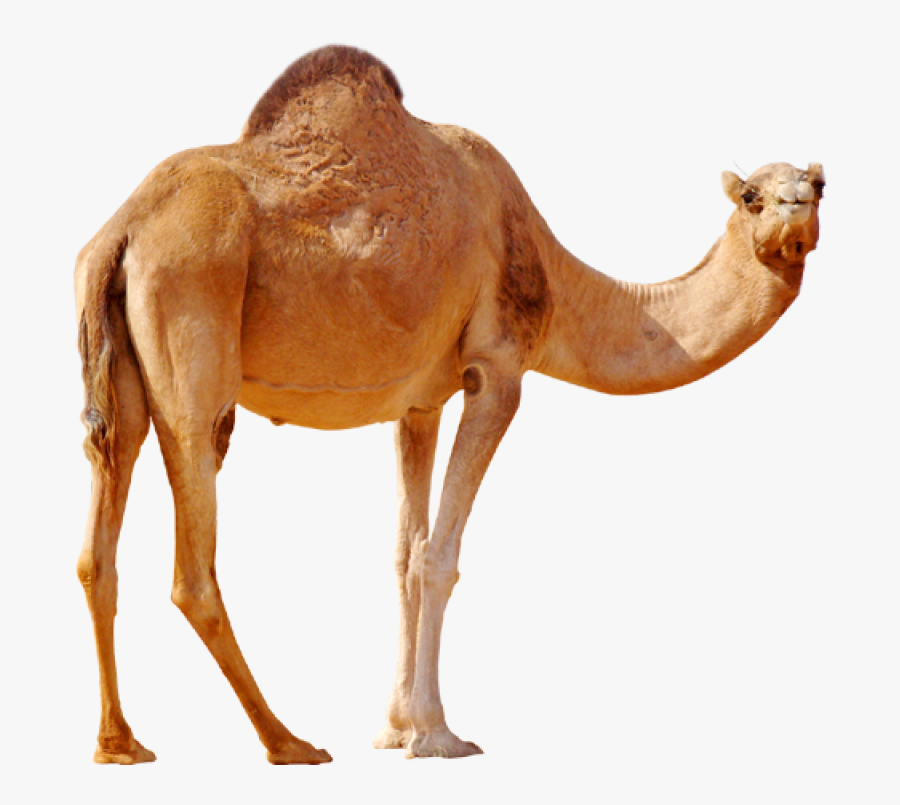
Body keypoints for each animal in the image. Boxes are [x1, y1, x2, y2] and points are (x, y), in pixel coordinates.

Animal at [75, 45, 824, 765]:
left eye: (819, 185)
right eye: (751, 195)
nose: (795, 209)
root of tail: (121, 231)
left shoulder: (419, 404)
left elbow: (404, 552)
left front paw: (393, 729)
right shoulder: (497, 370)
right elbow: (440, 555)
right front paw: (436, 735)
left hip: (121, 375)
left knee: (98, 542)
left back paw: (121, 744)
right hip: (194, 325)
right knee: (193, 561)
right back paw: (289, 743)